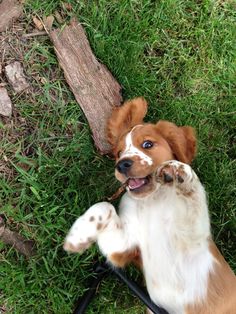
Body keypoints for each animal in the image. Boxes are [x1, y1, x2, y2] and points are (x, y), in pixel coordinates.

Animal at [64, 98, 236, 314]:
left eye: (147, 144)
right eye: (118, 153)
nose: (122, 164)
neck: (152, 200)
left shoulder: (194, 237)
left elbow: (193, 193)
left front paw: (179, 171)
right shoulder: (124, 248)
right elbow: (104, 206)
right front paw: (77, 236)